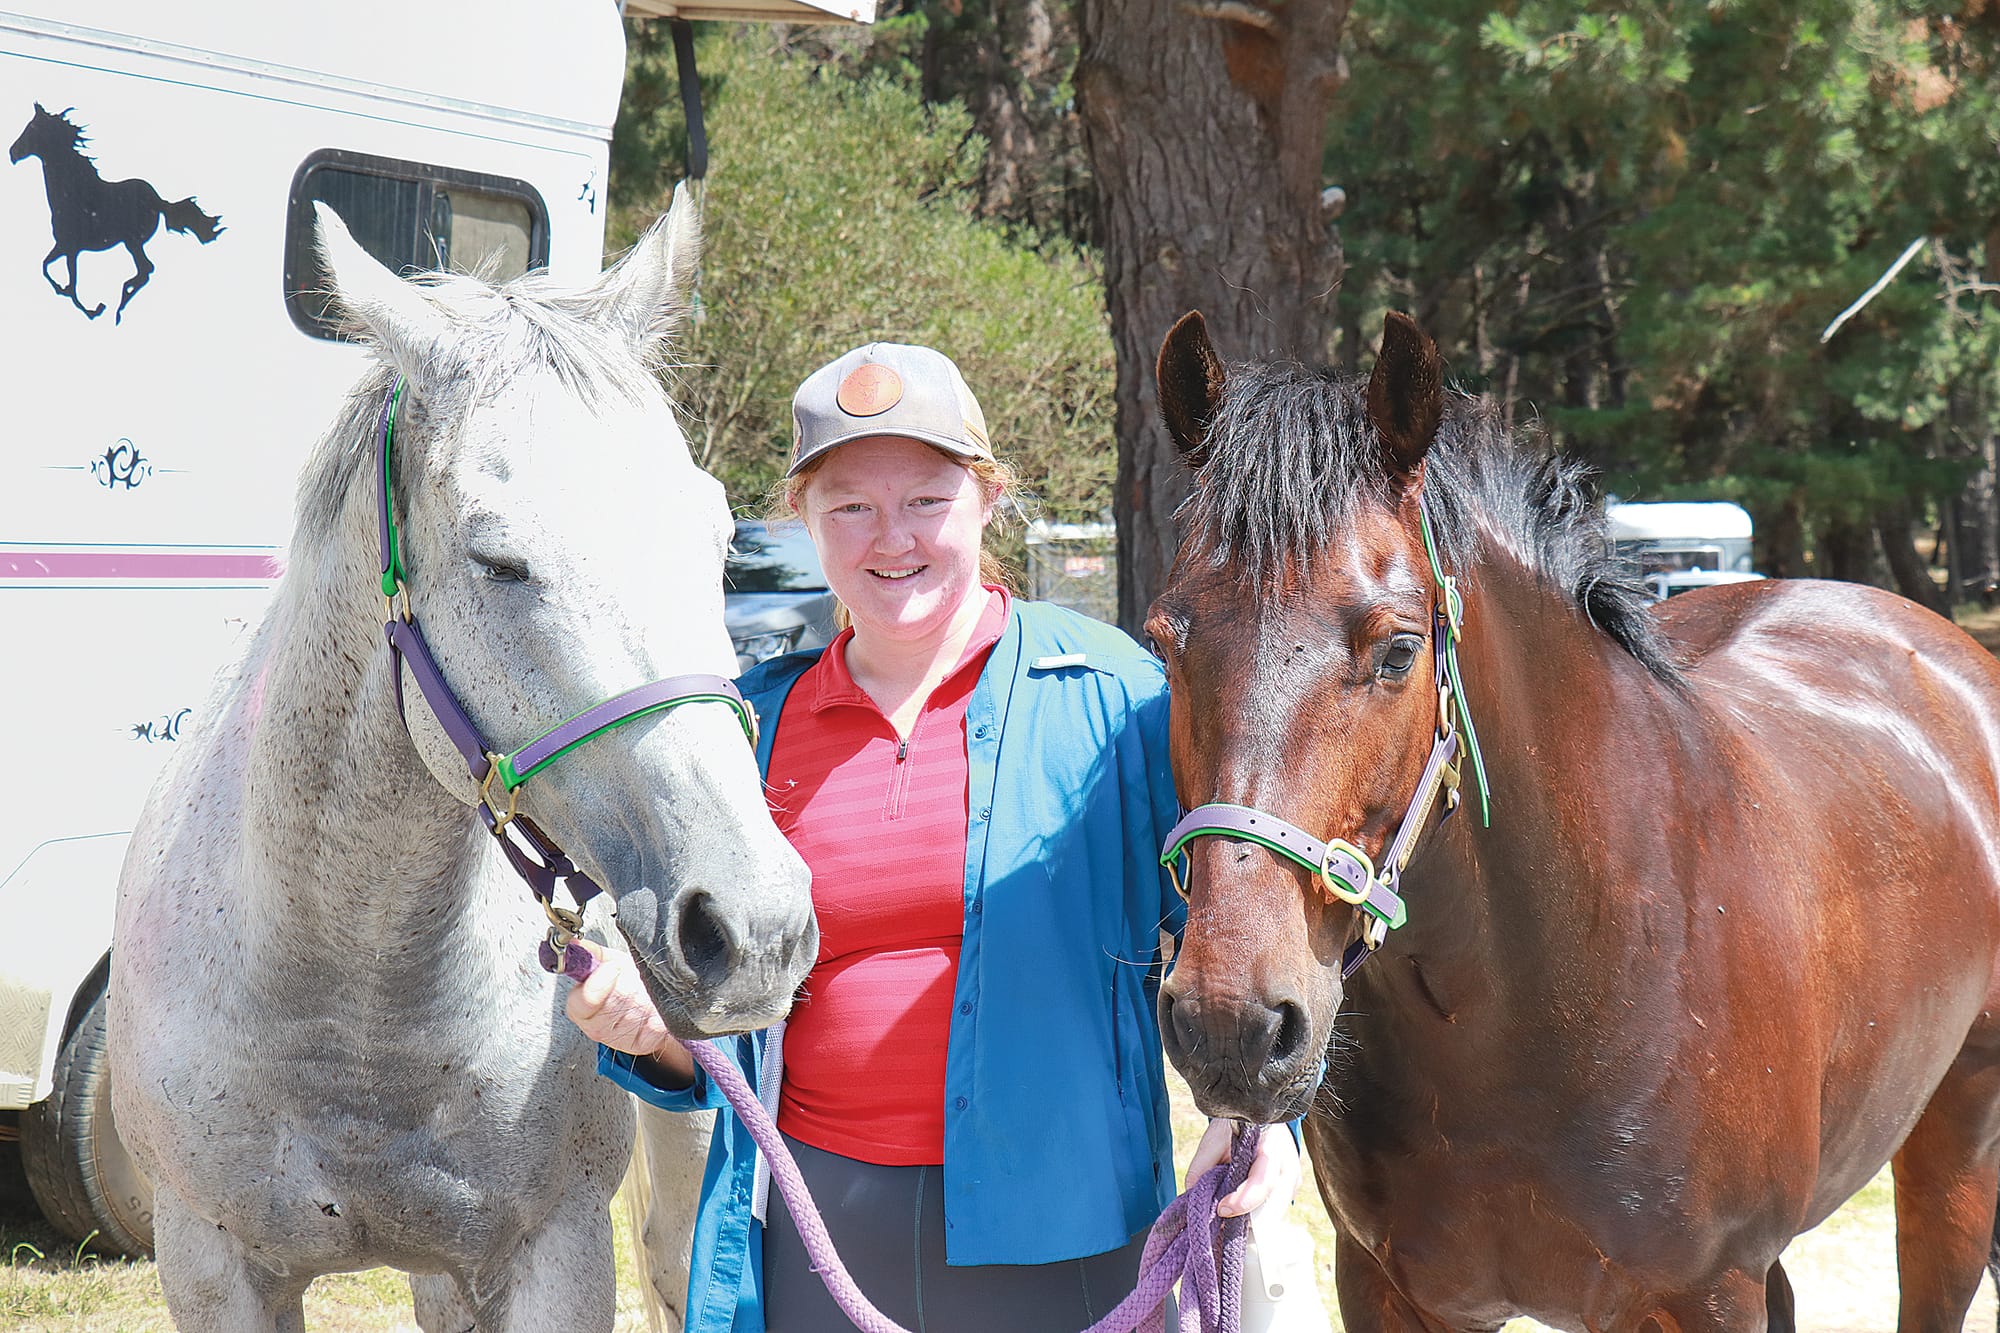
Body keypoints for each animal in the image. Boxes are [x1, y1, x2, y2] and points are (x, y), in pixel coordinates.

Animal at [9, 103, 224, 323]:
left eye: (32, 127)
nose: (12, 153)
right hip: (132, 243)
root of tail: (158, 201)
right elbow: (46, 267)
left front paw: (93, 310)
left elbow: (71, 283)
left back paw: (119, 304)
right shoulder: (63, 246)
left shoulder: (71, 247)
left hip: (132, 242)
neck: (73, 194)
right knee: (145, 271)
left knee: (146, 269)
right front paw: (75, 297)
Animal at [108, 185, 816, 1332]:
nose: (755, 927)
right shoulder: (211, 1266)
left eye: (714, 541)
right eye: (499, 560)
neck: (348, 988)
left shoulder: (551, 1255)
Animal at [1147, 309, 2000, 1333]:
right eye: (1164, 641)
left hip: (1957, 1146)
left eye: (1398, 650)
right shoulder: (1392, 1288)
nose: (1228, 1024)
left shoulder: (1706, 1295)